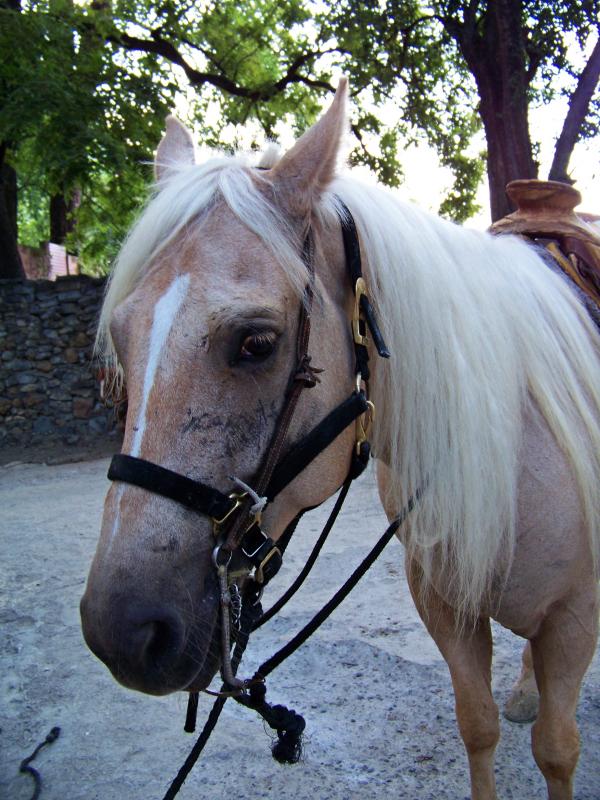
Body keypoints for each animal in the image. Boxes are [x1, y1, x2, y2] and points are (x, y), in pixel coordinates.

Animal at [80, 80, 600, 800]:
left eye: (257, 342)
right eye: (122, 337)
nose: (122, 632)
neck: (515, 449)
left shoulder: (576, 618)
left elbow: (557, 750)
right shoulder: (446, 605)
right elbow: (478, 726)